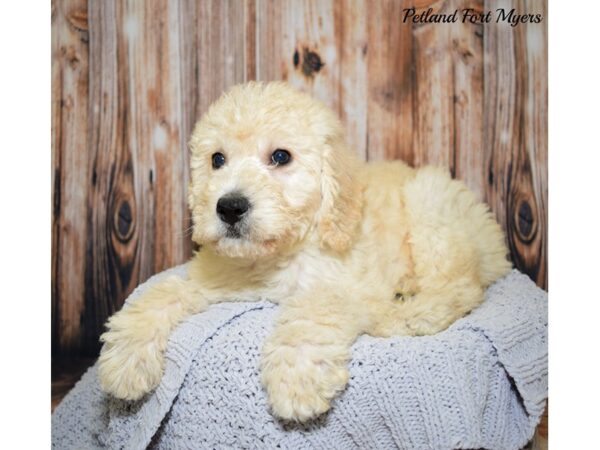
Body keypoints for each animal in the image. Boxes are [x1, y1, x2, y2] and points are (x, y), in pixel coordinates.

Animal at [98, 81, 510, 422]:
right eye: (217, 159)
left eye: (281, 157)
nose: (229, 207)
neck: (275, 257)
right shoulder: (211, 280)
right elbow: (162, 294)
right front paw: (126, 359)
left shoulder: (347, 287)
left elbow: (313, 311)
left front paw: (296, 379)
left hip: (432, 211)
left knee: (461, 286)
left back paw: (411, 313)